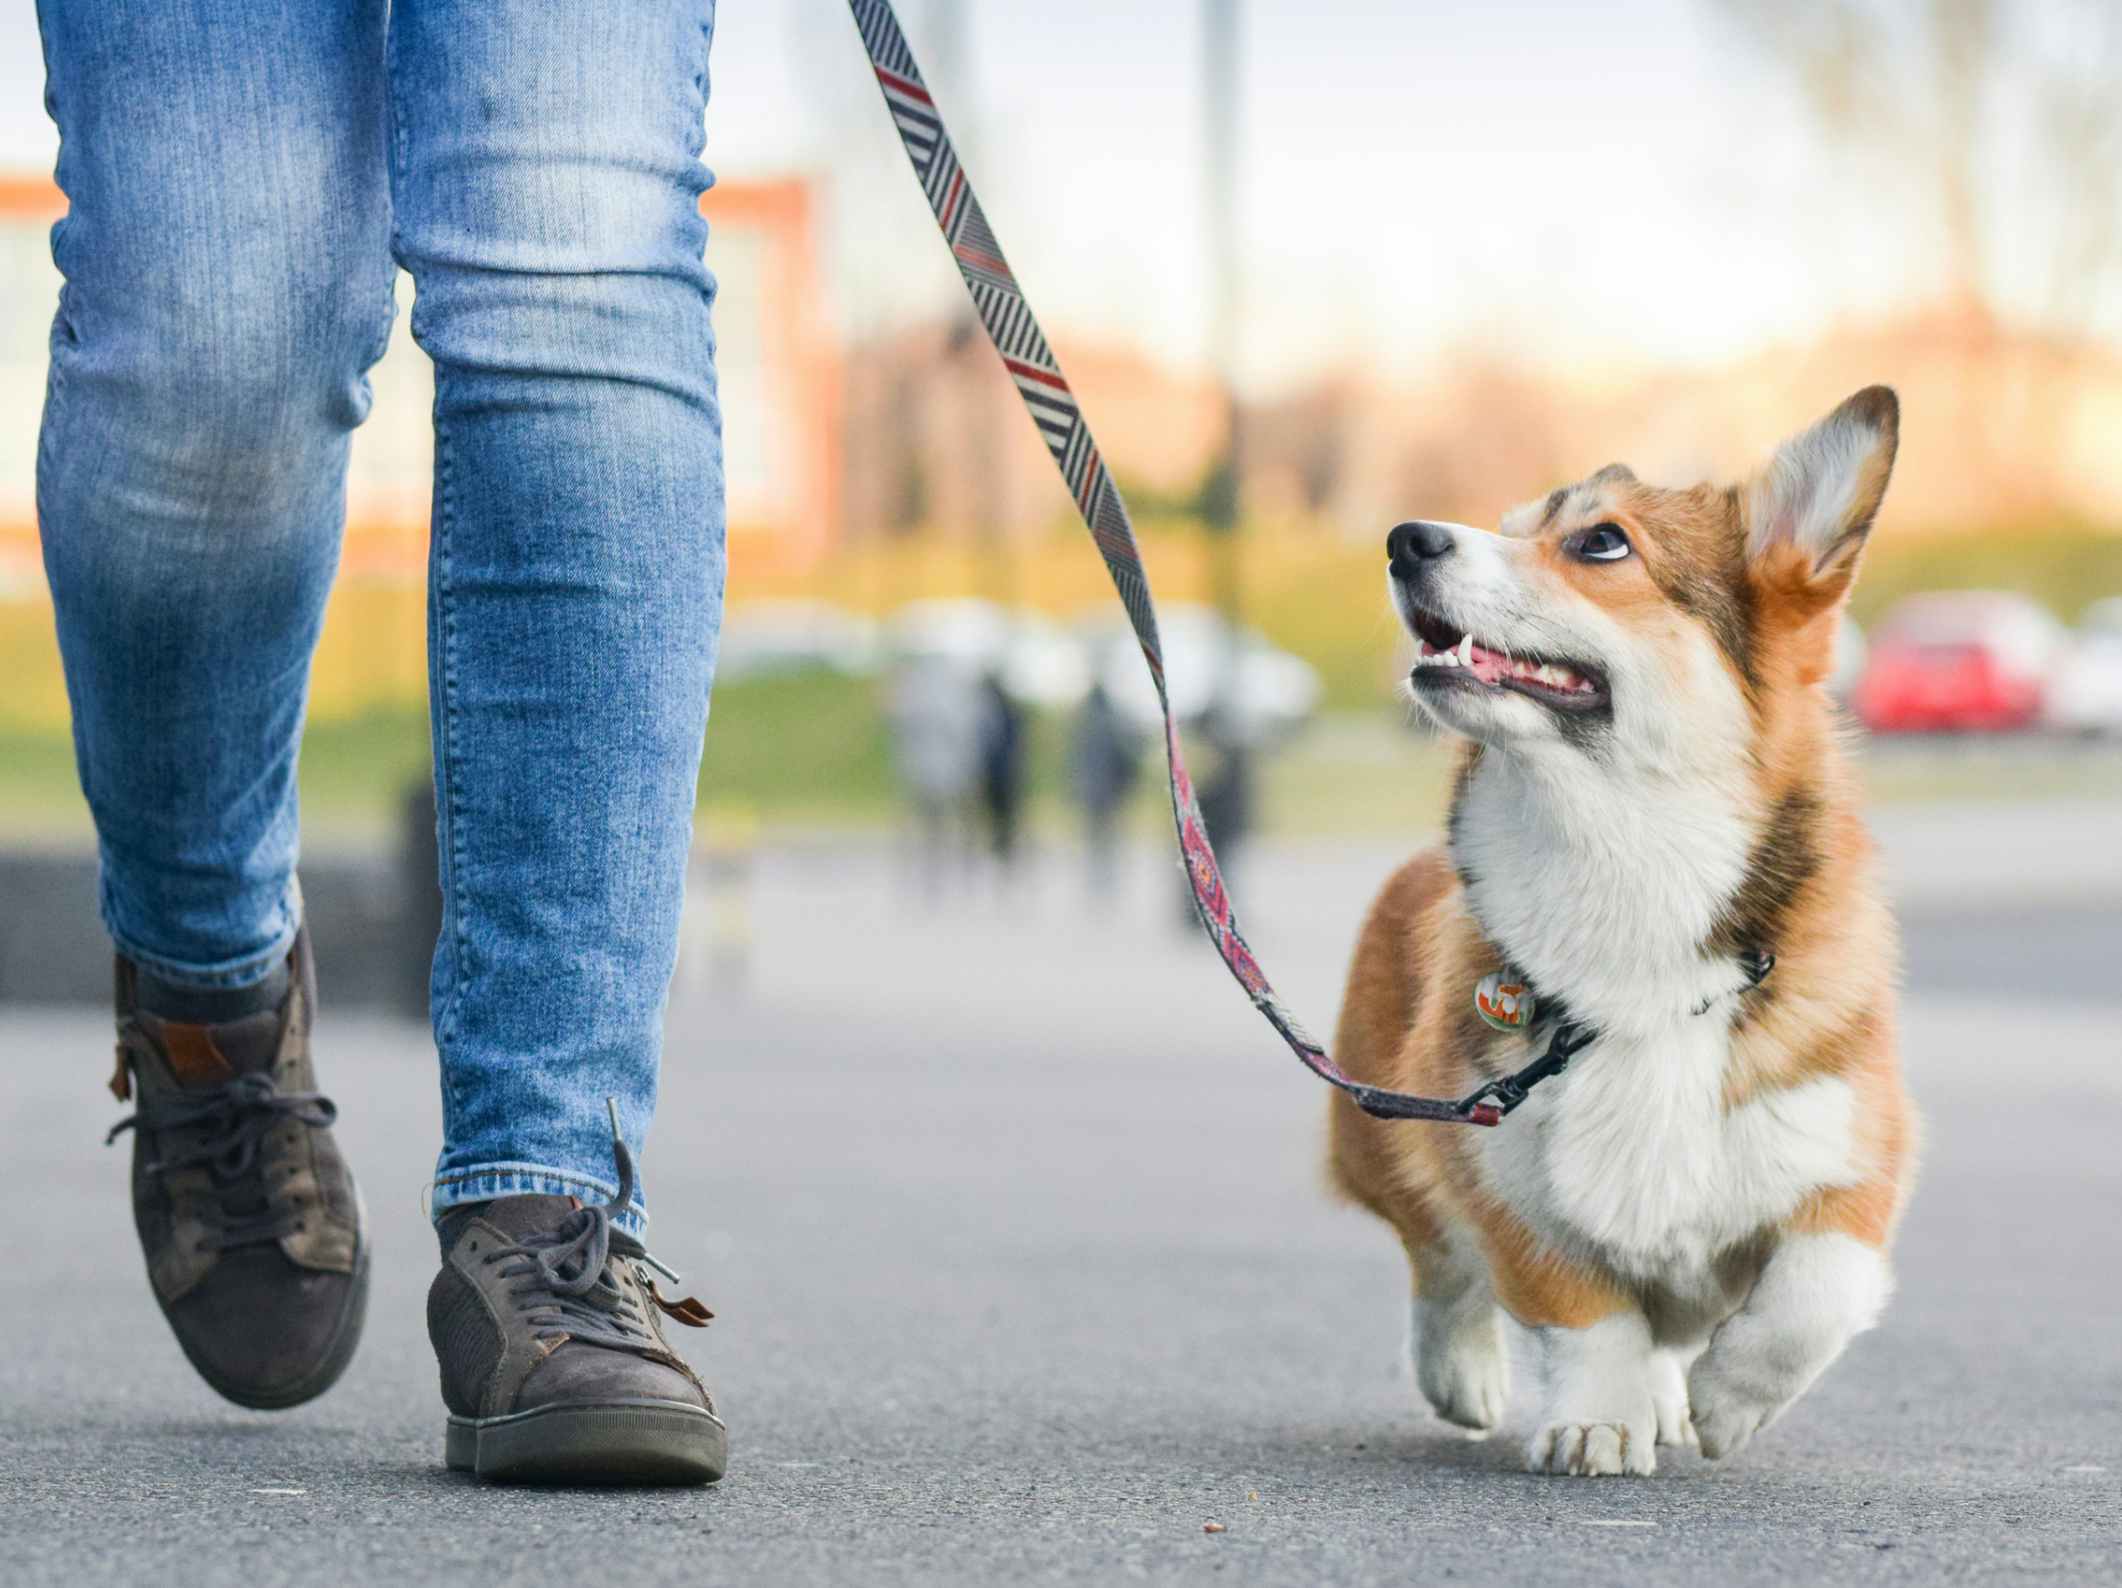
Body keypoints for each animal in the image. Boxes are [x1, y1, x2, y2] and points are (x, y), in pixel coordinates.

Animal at [1341, 388, 1926, 1477]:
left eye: (1600, 541)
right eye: (1509, 522)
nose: (1404, 538)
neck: (1623, 864)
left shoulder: (1854, 1152)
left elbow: (1814, 1290)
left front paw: (1730, 1400)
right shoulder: (1498, 1164)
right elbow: (1583, 1312)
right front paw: (1595, 1421)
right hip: (1381, 1125)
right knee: (1436, 1259)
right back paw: (1463, 1373)